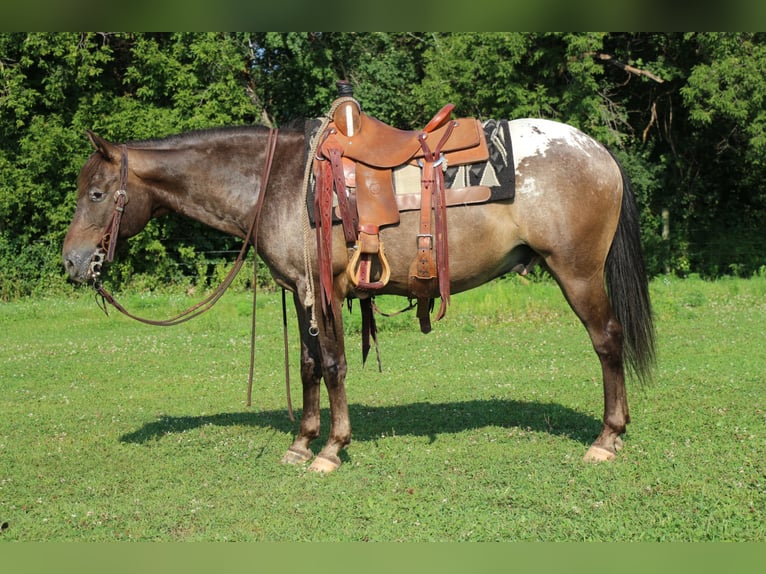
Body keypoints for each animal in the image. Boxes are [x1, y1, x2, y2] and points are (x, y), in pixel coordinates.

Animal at [63, 116, 656, 472]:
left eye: (97, 193)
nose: (72, 262)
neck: (277, 183)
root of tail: (597, 150)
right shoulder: (302, 290)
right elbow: (307, 366)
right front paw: (300, 444)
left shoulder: (323, 290)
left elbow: (332, 364)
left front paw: (331, 449)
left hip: (577, 272)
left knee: (608, 340)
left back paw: (607, 438)